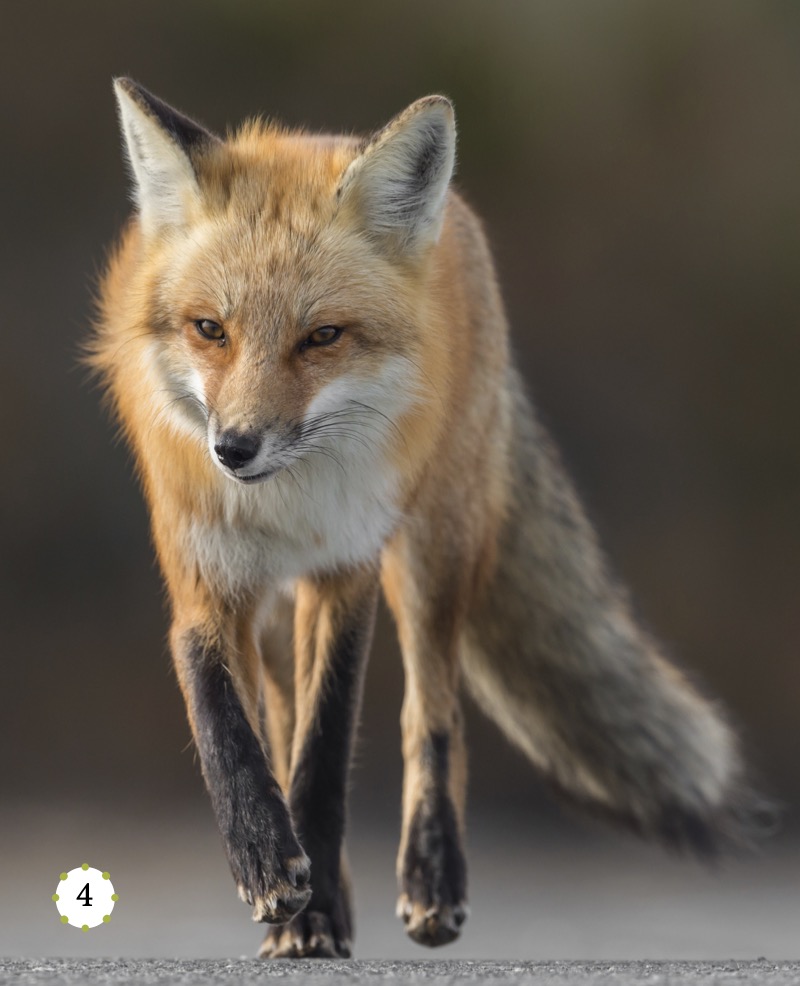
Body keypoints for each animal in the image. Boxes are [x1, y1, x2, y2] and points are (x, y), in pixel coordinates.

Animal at [90, 78, 769, 958]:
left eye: (322, 337)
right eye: (210, 329)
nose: (233, 448)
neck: (284, 505)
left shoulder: (346, 571)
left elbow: (326, 750)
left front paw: (311, 899)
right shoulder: (204, 578)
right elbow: (228, 727)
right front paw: (272, 865)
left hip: (431, 555)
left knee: (434, 713)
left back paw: (430, 881)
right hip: (282, 608)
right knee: (284, 717)